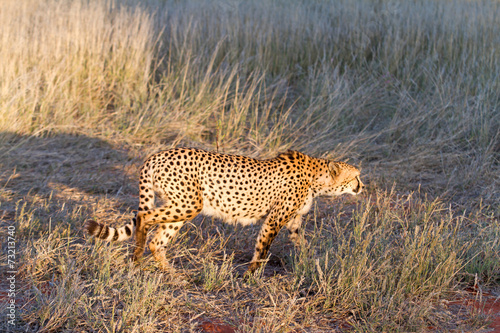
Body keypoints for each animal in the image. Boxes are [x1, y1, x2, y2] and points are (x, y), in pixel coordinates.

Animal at [85, 148, 364, 272]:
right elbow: (263, 248)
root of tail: (159, 153)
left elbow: (302, 243)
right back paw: (137, 260)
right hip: (187, 204)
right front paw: (251, 277)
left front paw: (310, 264)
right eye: (356, 177)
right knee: (144, 218)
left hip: (181, 205)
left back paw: (172, 273)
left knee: (158, 240)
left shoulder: (293, 221)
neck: (317, 178)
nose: (363, 185)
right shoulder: (273, 220)